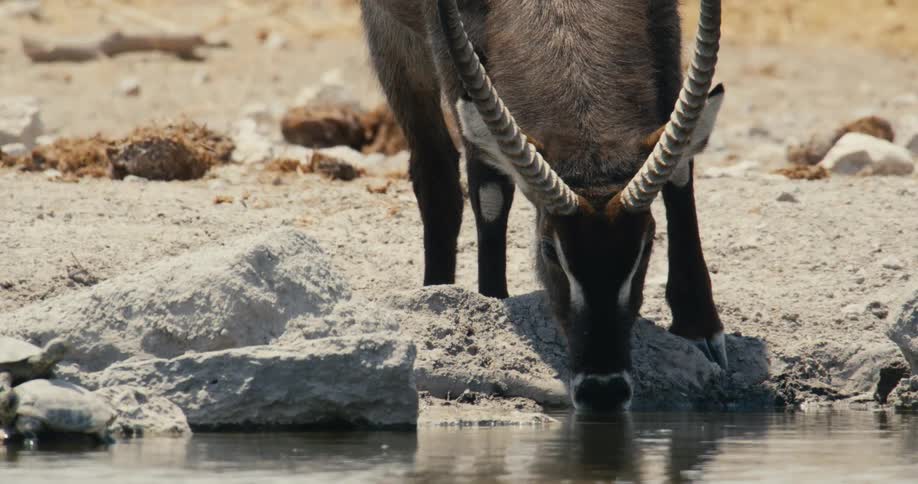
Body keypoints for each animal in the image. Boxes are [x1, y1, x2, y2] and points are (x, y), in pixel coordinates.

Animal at [360, 0, 726, 411]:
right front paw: (491, 306)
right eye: (549, 249)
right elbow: (490, 190)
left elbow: (679, 170)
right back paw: (434, 294)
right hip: (392, 38)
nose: (603, 388)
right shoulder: (451, 51)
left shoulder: (665, 22)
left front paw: (698, 326)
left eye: (647, 246)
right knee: (436, 173)